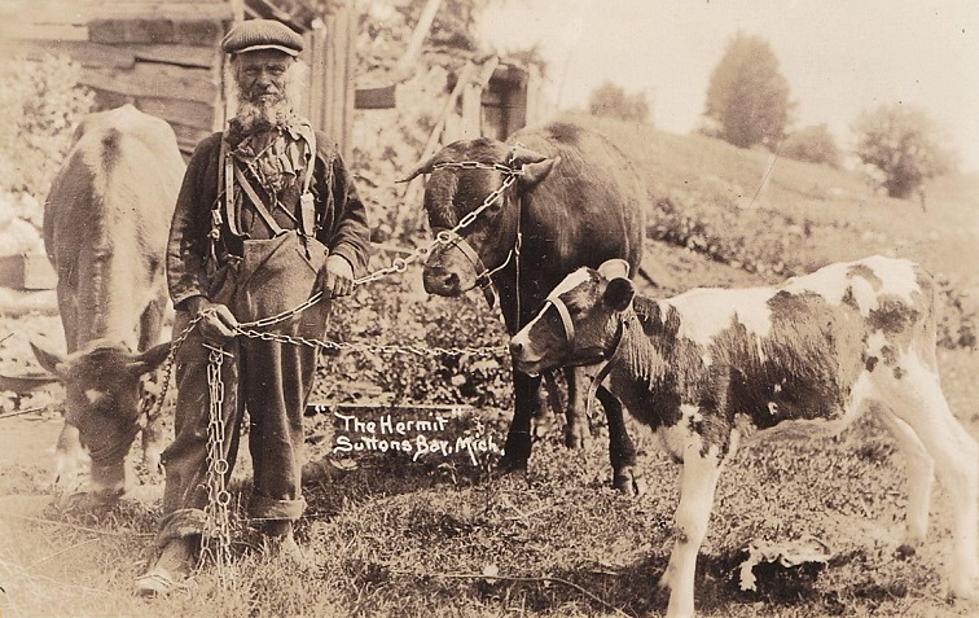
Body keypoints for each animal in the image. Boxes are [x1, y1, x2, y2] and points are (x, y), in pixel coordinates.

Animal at [28, 103, 184, 494]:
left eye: (134, 415)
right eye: (75, 414)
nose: (107, 489)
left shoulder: (158, 292)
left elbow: (154, 367)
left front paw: (153, 455)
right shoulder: (63, 286)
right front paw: (64, 460)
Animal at [404, 120, 652, 494]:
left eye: (492, 208)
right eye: (429, 208)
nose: (439, 277)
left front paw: (625, 467)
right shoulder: (515, 304)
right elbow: (524, 376)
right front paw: (516, 454)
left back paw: (577, 427)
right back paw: (543, 419)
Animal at [512, 255, 979, 616]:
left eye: (573, 306)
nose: (516, 344)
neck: (668, 349)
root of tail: (909, 267)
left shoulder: (708, 439)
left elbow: (689, 525)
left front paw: (679, 603)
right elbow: (682, 523)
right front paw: (669, 580)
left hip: (913, 384)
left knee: (960, 462)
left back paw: (959, 583)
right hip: (881, 399)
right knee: (922, 455)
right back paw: (911, 540)